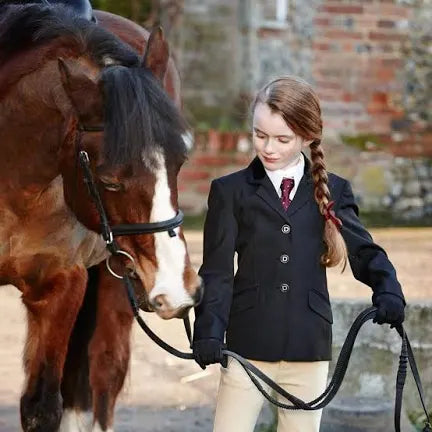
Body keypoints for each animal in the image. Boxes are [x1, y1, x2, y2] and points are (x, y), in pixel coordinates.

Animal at [0, 1, 203, 430]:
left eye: (180, 162)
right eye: (108, 179)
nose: (180, 289)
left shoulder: (62, 287)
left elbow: (44, 406)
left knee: (102, 374)